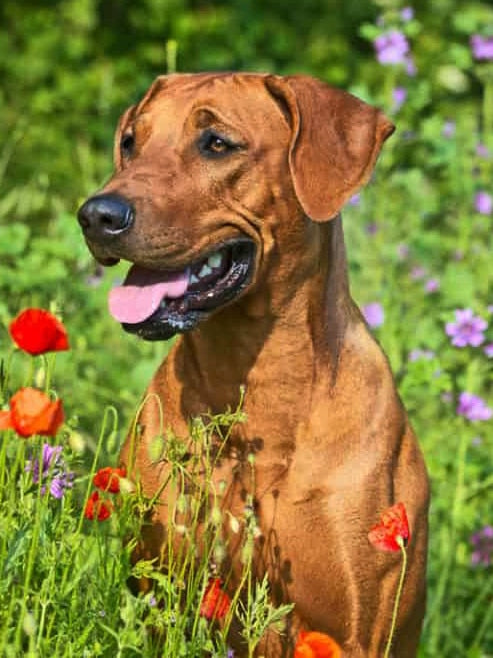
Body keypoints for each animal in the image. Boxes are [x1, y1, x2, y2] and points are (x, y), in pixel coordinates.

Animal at [77, 69, 426, 652]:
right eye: (129, 143)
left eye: (217, 144)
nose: (96, 216)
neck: (261, 381)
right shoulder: (162, 598)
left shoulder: (359, 630)